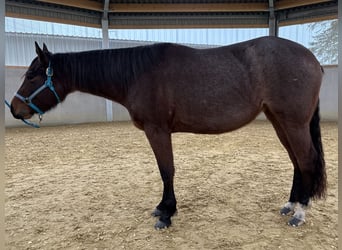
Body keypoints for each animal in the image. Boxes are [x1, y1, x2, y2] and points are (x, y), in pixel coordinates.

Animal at [10, 36, 326, 229]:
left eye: (33, 75)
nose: (15, 108)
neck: (137, 74)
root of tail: (312, 59)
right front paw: (164, 208)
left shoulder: (157, 130)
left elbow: (166, 170)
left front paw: (166, 213)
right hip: (279, 121)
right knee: (296, 161)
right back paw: (290, 205)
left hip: (293, 122)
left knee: (306, 160)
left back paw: (300, 213)